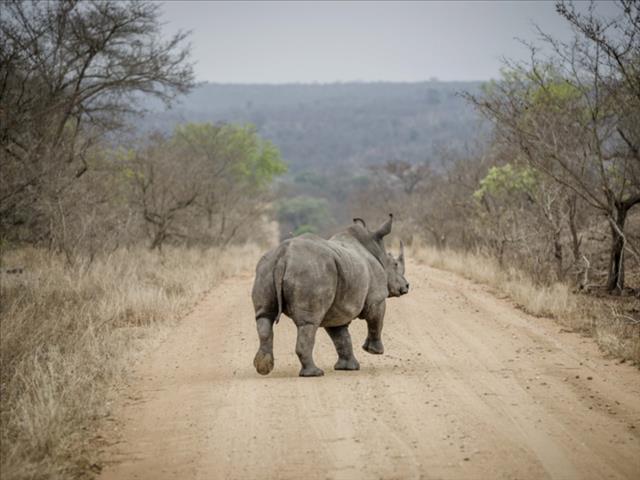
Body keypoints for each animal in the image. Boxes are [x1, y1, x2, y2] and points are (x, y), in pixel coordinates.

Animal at [251, 214, 409, 377]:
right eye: (395, 264)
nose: (406, 286)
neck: (375, 250)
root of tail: (284, 255)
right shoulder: (377, 297)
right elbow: (376, 320)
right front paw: (374, 351)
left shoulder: (337, 308)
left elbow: (341, 337)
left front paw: (348, 368)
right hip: (311, 270)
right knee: (309, 323)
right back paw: (315, 373)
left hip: (266, 267)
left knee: (264, 317)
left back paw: (263, 368)